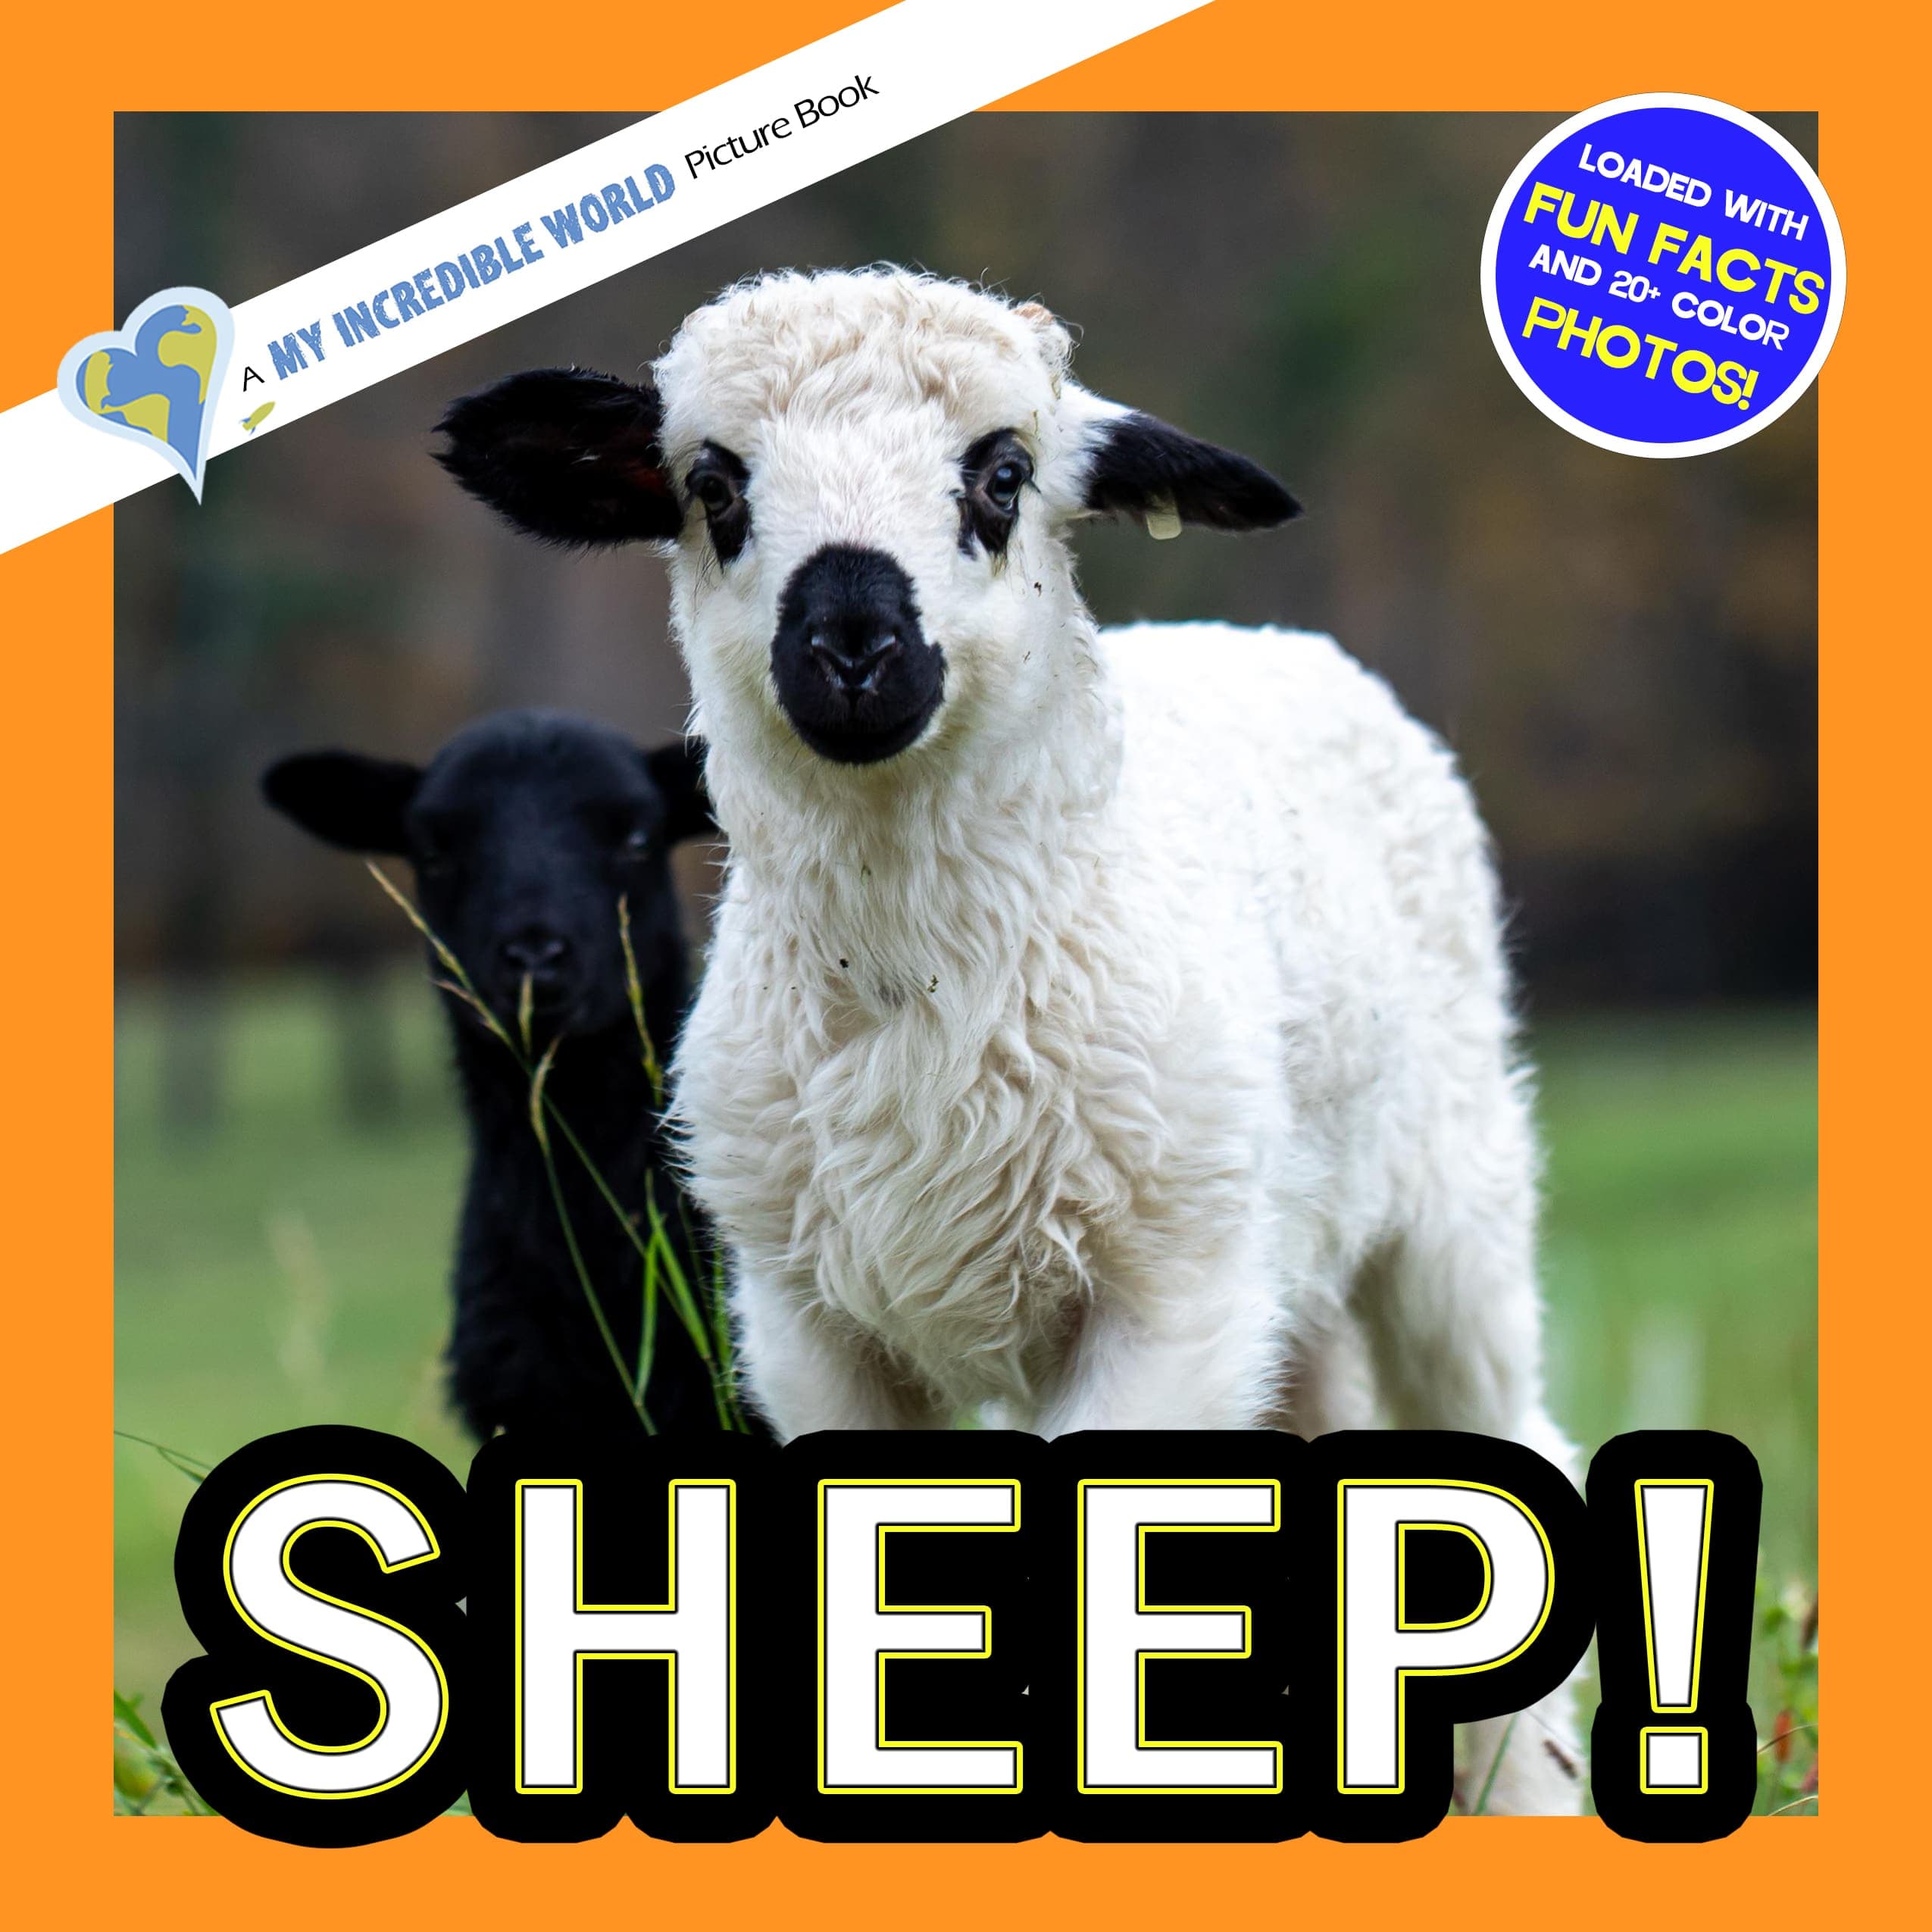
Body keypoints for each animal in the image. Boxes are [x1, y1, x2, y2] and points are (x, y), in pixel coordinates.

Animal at [434, 271, 1583, 1810]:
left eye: (1001, 473)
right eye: (713, 486)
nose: (851, 647)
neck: (920, 992)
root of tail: (1263, 639)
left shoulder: (1165, 1295)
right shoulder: (805, 1324)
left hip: (1447, 1205)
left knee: (1509, 1437)